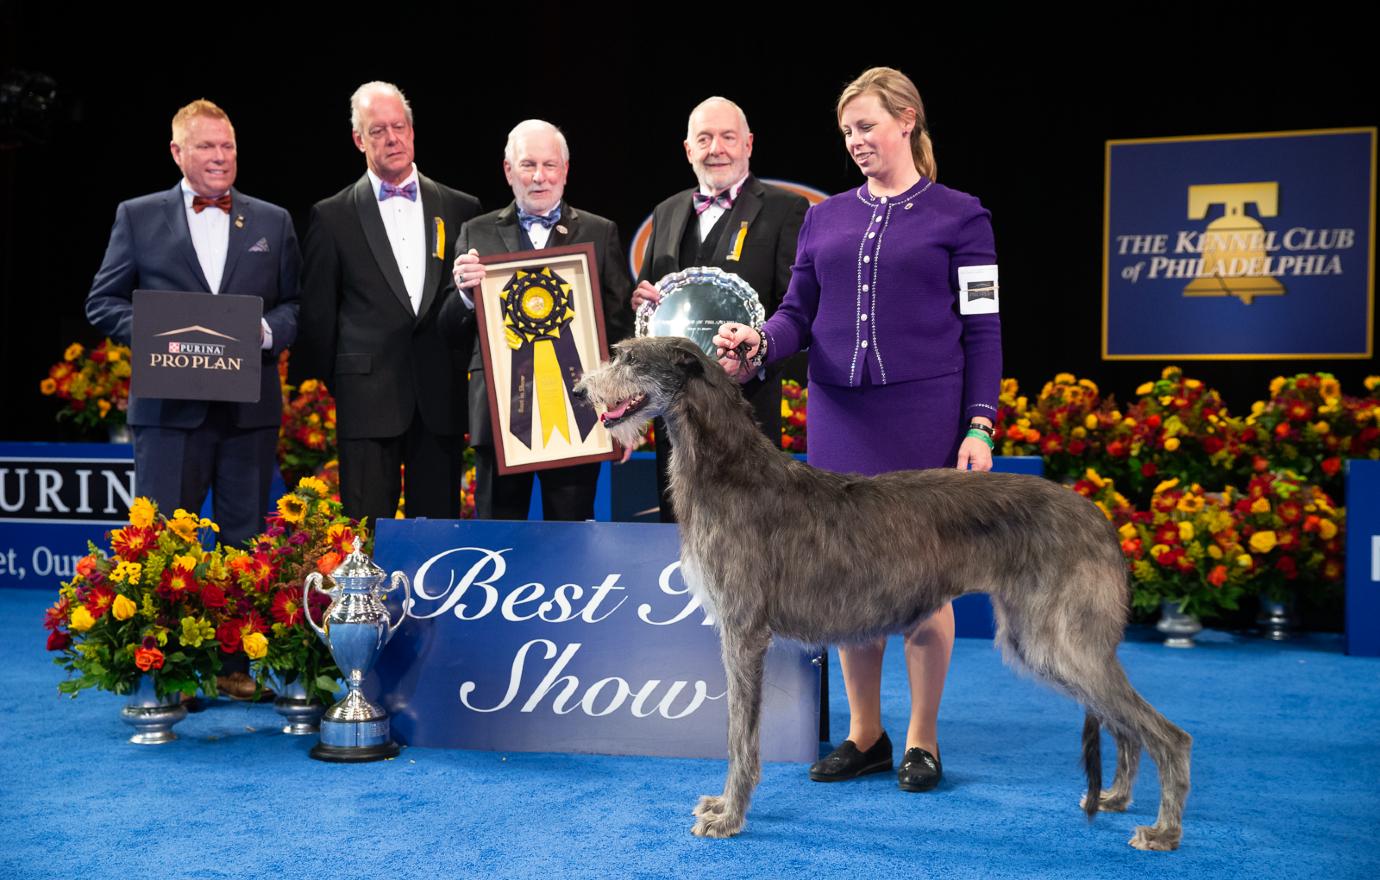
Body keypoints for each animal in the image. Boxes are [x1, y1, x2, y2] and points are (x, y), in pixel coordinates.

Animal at [576, 333, 1192, 849]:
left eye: (628, 358)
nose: (581, 391)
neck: (731, 470)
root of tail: (1101, 517)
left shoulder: (744, 632)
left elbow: (740, 738)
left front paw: (730, 815)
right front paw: (726, 808)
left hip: (1056, 639)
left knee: (1169, 733)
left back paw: (1163, 830)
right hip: (1052, 640)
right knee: (1126, 725)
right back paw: (1117, 797)